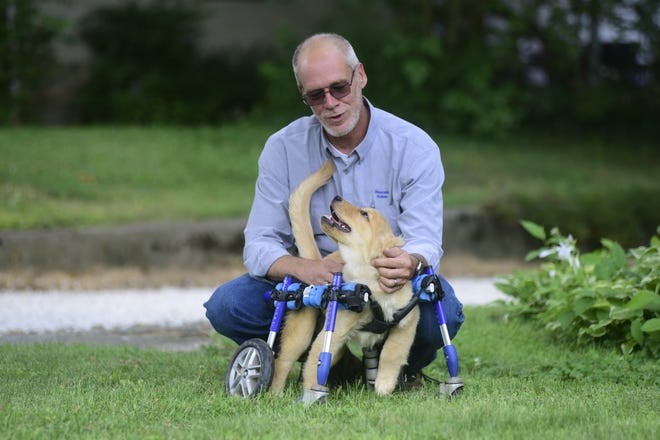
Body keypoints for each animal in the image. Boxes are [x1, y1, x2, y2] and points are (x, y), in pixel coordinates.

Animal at [270, 158, 420, 396]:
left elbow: (391, 353)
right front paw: (311, 395)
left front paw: (383, 386)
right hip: (301, 333)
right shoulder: (335, 330)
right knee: (283, 360)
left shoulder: (407, 322)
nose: (337, 197)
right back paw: (274, 394)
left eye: (364, 214)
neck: (369, 283)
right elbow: (315, 364)